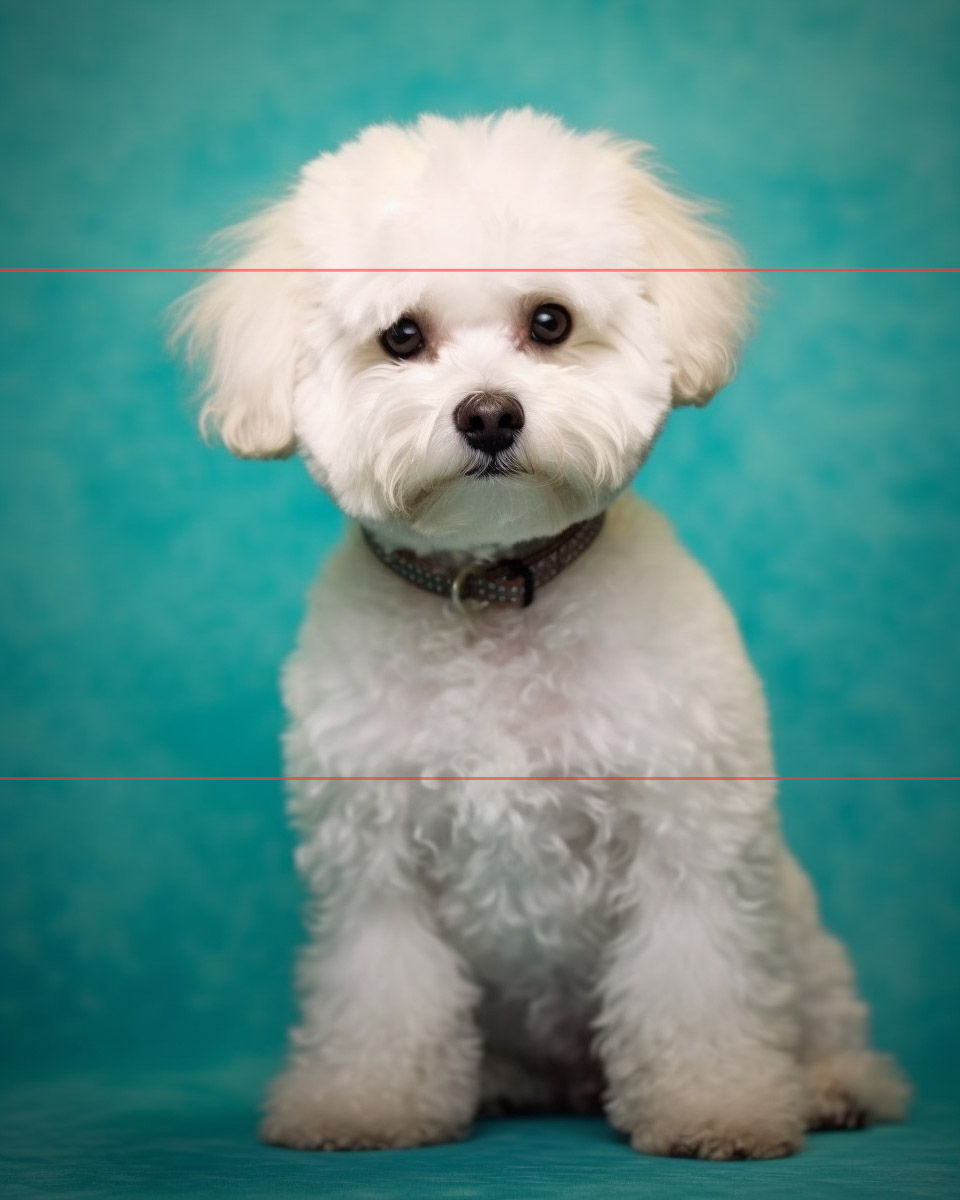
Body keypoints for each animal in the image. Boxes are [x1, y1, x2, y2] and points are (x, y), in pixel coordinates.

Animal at [177, 112, 907, 1161]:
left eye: (550, 322)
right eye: (403, 336)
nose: (489, 413)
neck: (491, 597)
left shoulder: (687, 845)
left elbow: (697, 988)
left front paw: (716, 1106)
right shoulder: (375, 864)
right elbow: (381, 993)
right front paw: (366, 1104)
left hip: (799, 939)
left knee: (828, 1022)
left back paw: (834, 1083)